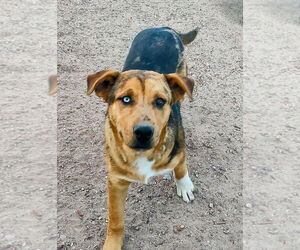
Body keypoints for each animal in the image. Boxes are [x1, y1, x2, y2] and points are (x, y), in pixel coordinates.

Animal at [86, 26, 198, 249]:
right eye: (126, 99)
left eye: (160, 101)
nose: (144, 132)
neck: (142, 154)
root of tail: (163, 28)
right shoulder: (116, 181)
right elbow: (116, 221)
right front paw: (112, 243)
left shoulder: (179, 144)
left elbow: (180, 164)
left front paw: (184, 185)